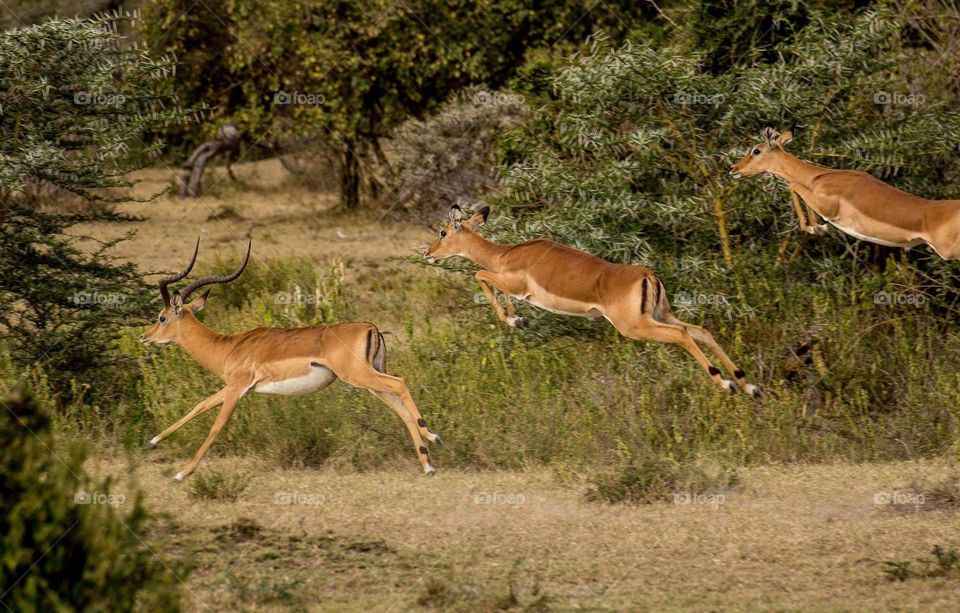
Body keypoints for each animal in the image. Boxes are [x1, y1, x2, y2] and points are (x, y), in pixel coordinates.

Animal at [140, 239, 441, 480]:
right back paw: (427, 463)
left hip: (360, 376)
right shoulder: (236, 388)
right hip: (368, 381)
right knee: (399, 407)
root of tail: (371, 327)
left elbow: (216, 426)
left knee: (400, 383)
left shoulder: (237, 388)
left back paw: (432, 436)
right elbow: (199, 405)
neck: (229, 347)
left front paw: (181, 473)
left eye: (162, 317)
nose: (144, 337)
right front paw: (153, 441)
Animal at [424, 205, 761, 398]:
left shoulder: (514, 284)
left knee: (682, 335)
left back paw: (726, 384)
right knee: (700, 331)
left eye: (443, 232)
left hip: (636, 326)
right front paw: (518, 319)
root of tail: (647, 274)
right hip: (661, 314)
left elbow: (480, 274)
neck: (504, 255)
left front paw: (515, 319)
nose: (427, 253)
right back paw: (749, 386)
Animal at [731, 128, 960, 259]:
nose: (733, 168)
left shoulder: (828, 207)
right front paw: (818, 228)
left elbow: (793, 186)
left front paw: (816, 228)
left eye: (756, 150)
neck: (820, 176)